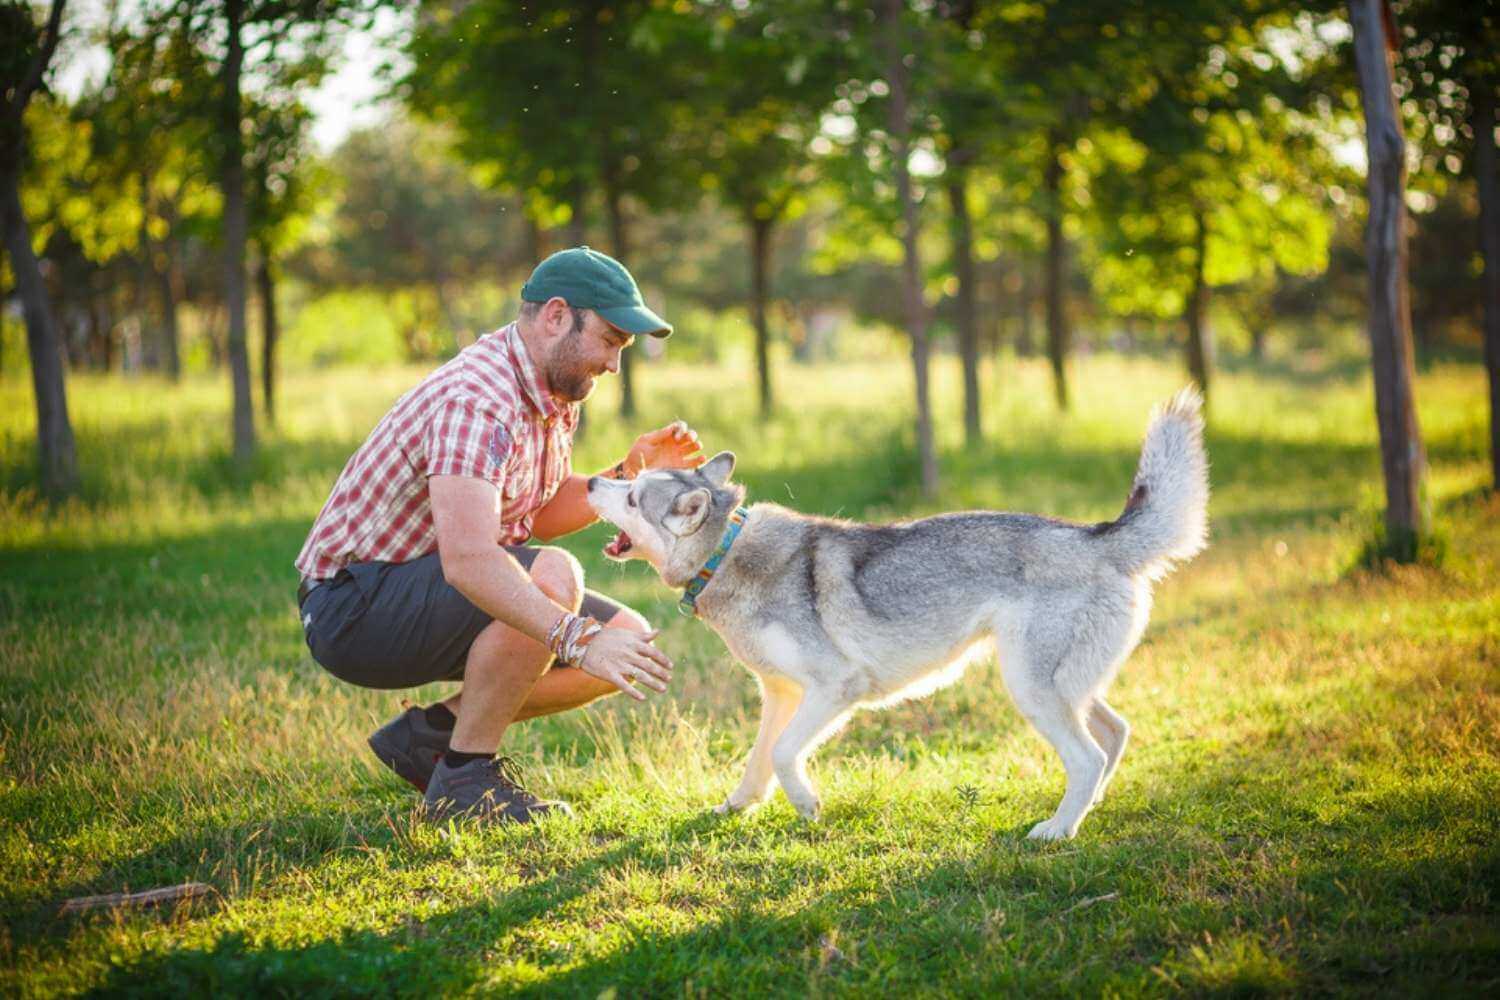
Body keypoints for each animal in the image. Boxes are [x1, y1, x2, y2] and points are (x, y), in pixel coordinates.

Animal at [585, 386, 1206, 839]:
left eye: (633, 495)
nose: (591, 479)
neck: (726, 553)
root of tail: (1096, 536)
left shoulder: (837, 688)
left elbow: (784, 753)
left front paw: (806, 804)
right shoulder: (780, 694)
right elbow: (759, 759)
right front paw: (737, 807)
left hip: (1031, 687)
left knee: (1086, 756)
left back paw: (1057, 830)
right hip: (1063, 685)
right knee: (1114, 735)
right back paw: (1087, 811)